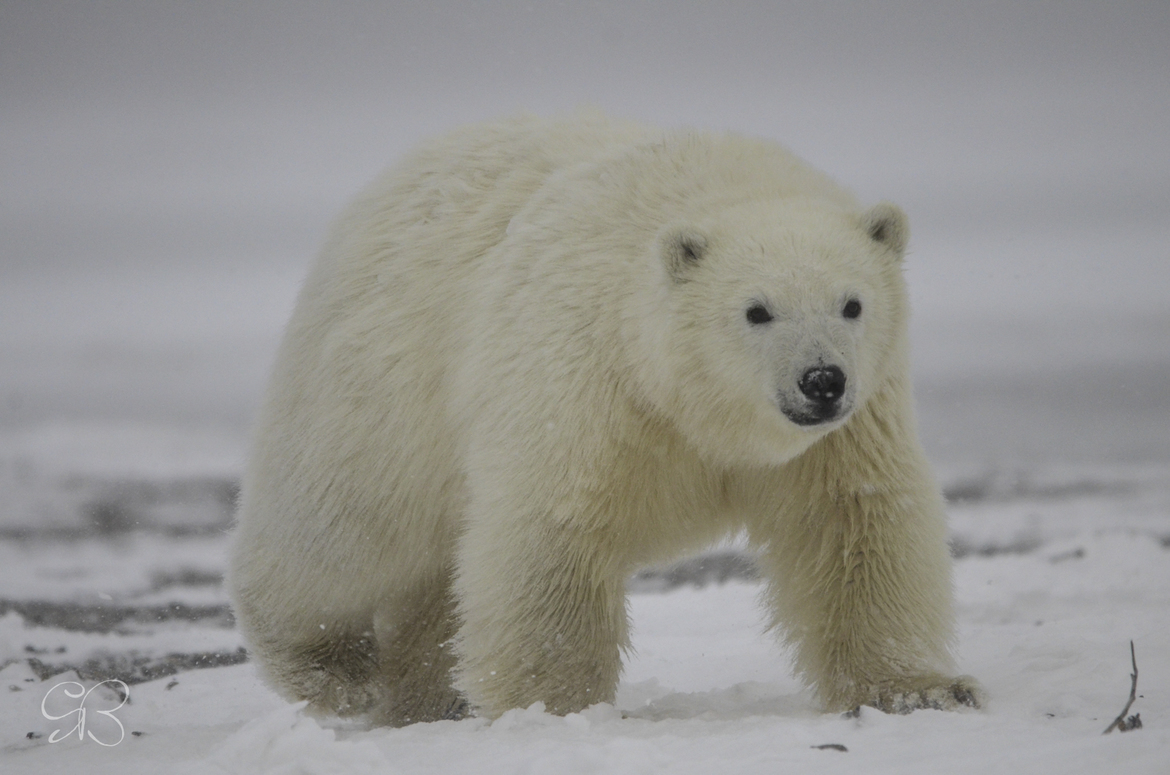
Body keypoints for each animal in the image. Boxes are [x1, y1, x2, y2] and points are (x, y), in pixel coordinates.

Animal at [228, 112, 980, 726]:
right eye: (757, 310)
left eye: (852, 303)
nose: (822, 381)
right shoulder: (585, 379)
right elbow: (553, 532)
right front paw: (552, 711)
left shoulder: (852, 426)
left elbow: (853, 523)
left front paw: (922, 691)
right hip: (381, 383)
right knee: (342, 531)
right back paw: (336, 668)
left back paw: (426, 694)